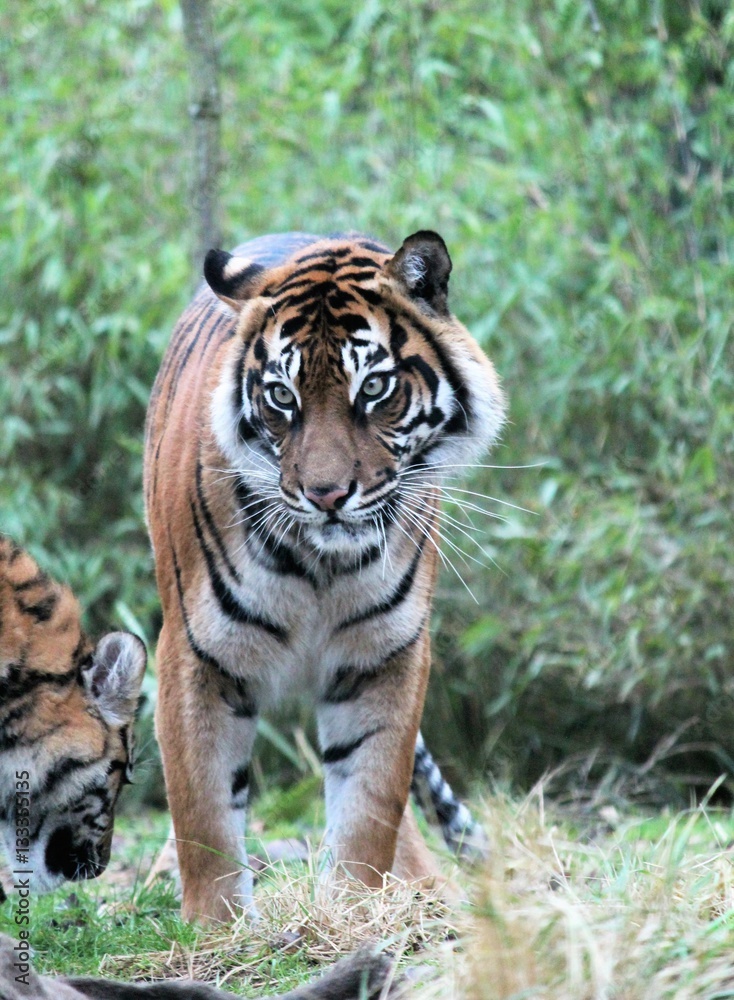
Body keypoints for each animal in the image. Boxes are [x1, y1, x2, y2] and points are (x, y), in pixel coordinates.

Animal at [143, 230, 506, 923]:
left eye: (375, 388)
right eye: (282, 396)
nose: (327, 495)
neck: (321, 565)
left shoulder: (385, 655)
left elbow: (371, 802)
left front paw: (357, 912)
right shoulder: (195, 655)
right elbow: (203, 813)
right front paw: (218, 930)